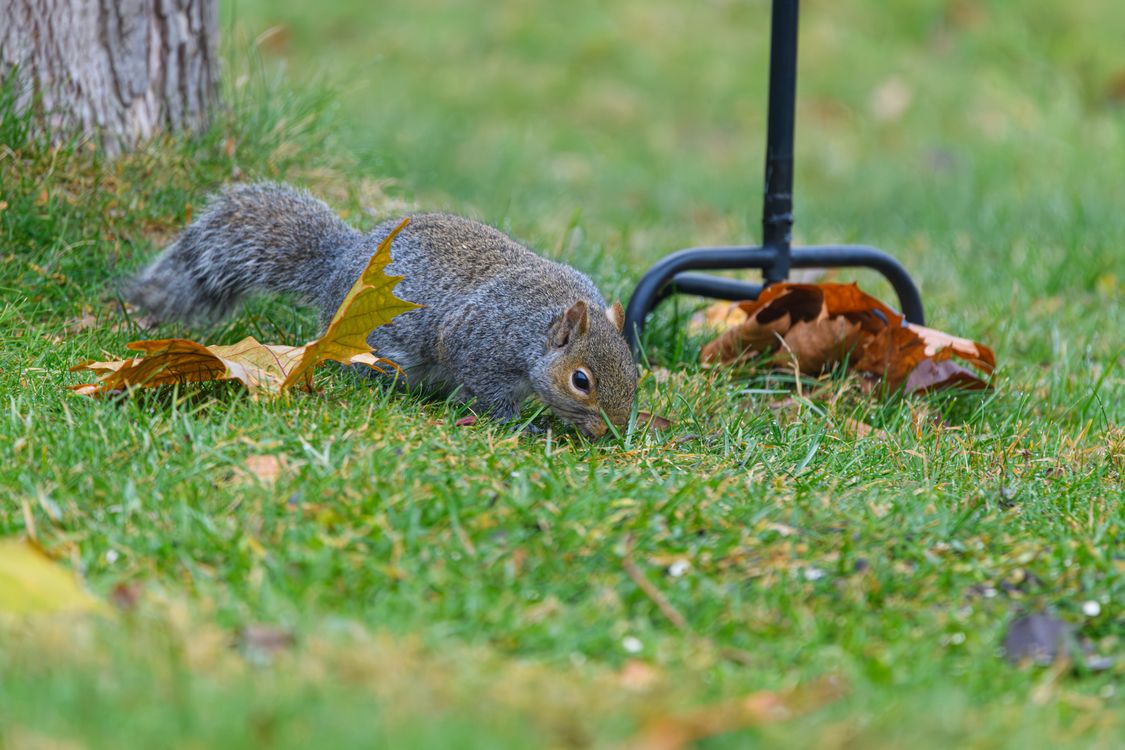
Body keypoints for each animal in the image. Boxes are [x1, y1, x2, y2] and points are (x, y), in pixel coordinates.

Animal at [126, 182, 638, 438]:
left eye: (635, 372)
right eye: (581, 381)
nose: (609, 431)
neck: (539, 322)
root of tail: (338, 265)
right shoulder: (482, 340)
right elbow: (489, 390)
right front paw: (521, 426)